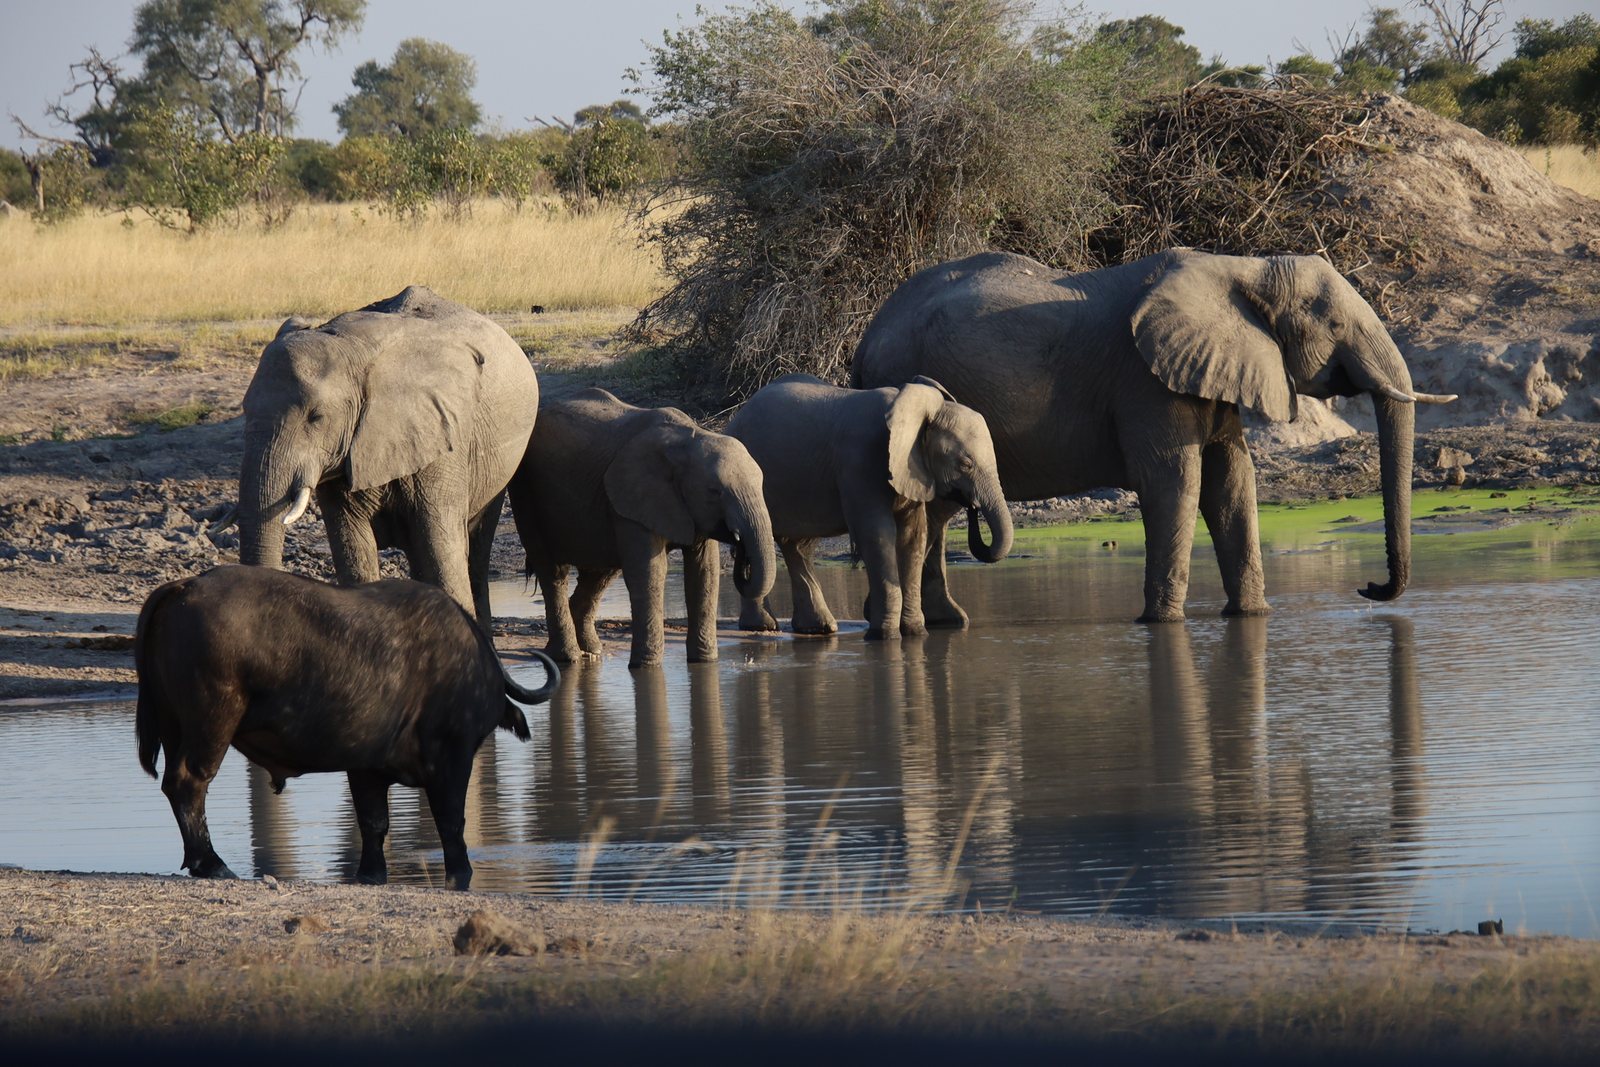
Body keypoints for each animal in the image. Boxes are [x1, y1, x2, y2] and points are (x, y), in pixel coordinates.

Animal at [134, 565, 561, 891]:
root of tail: (185, 586)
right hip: (211, 723)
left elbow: (374, 822)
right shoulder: (451, 760)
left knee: (174, 785)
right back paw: (212, 863)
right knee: (189, 782)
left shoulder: (365, 768)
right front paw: (461, 873)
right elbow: (451, 819)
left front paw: (371, 874)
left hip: (172, 725)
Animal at [238, 286, 539, 631]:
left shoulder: (442, 439)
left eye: (316, 417)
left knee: (473, 555)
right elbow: (354, 551)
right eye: (244, 409)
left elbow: (442, 551)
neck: (351, 347)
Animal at [506, 388, 776, 669]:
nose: (740, 547)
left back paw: (591, 652)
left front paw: (703, 662)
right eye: (714, 491)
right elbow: (650, 572)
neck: (689, 440)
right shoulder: (634, 497)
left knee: (600, 573)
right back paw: (567, 657)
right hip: (524, 488)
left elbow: (705, 572)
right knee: (553, 570)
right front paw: (646, 666)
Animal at [725, 374, 1012, 641]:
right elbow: (877, 535)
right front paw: (883, 636)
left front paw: (915, 633)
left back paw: (816, 628)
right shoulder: (862, 462)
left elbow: (912, 536)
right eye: (966, 464)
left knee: (797, 547)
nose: (972, 505)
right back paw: (763, 626)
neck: (915, 409)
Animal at [853, 249, 1456, 624]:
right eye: (1333, 325)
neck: (1243, 268)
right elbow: (1175, 480)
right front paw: (1160, 622)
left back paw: (946, 623)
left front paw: (1251, 616)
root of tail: (864, 342)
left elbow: (1231, 480)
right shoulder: (1145, 380)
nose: (1368, 589)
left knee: (935, 517)